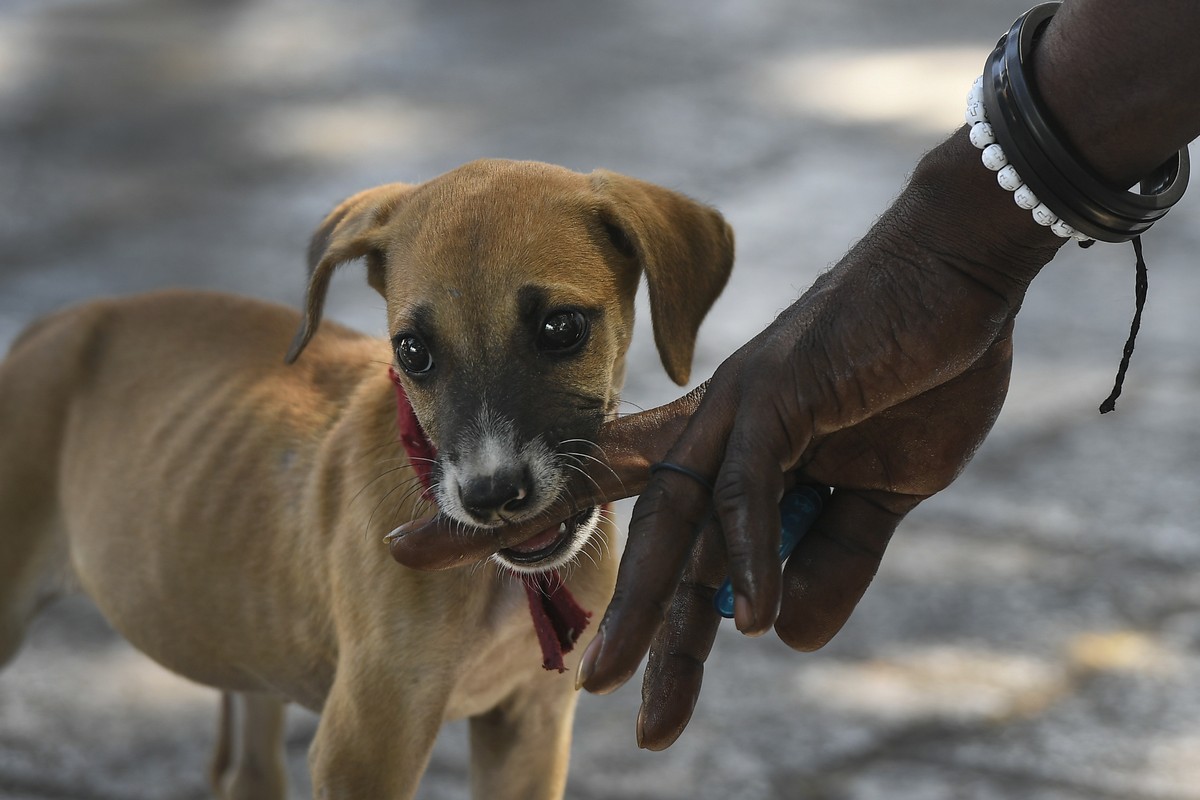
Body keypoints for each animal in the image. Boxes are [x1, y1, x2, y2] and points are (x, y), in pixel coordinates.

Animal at [0, 159, 729, 796]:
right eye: (412, 351)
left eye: (562, 326)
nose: (490, 497)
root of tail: (42, 328)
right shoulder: (366, 745)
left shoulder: (530, 727)